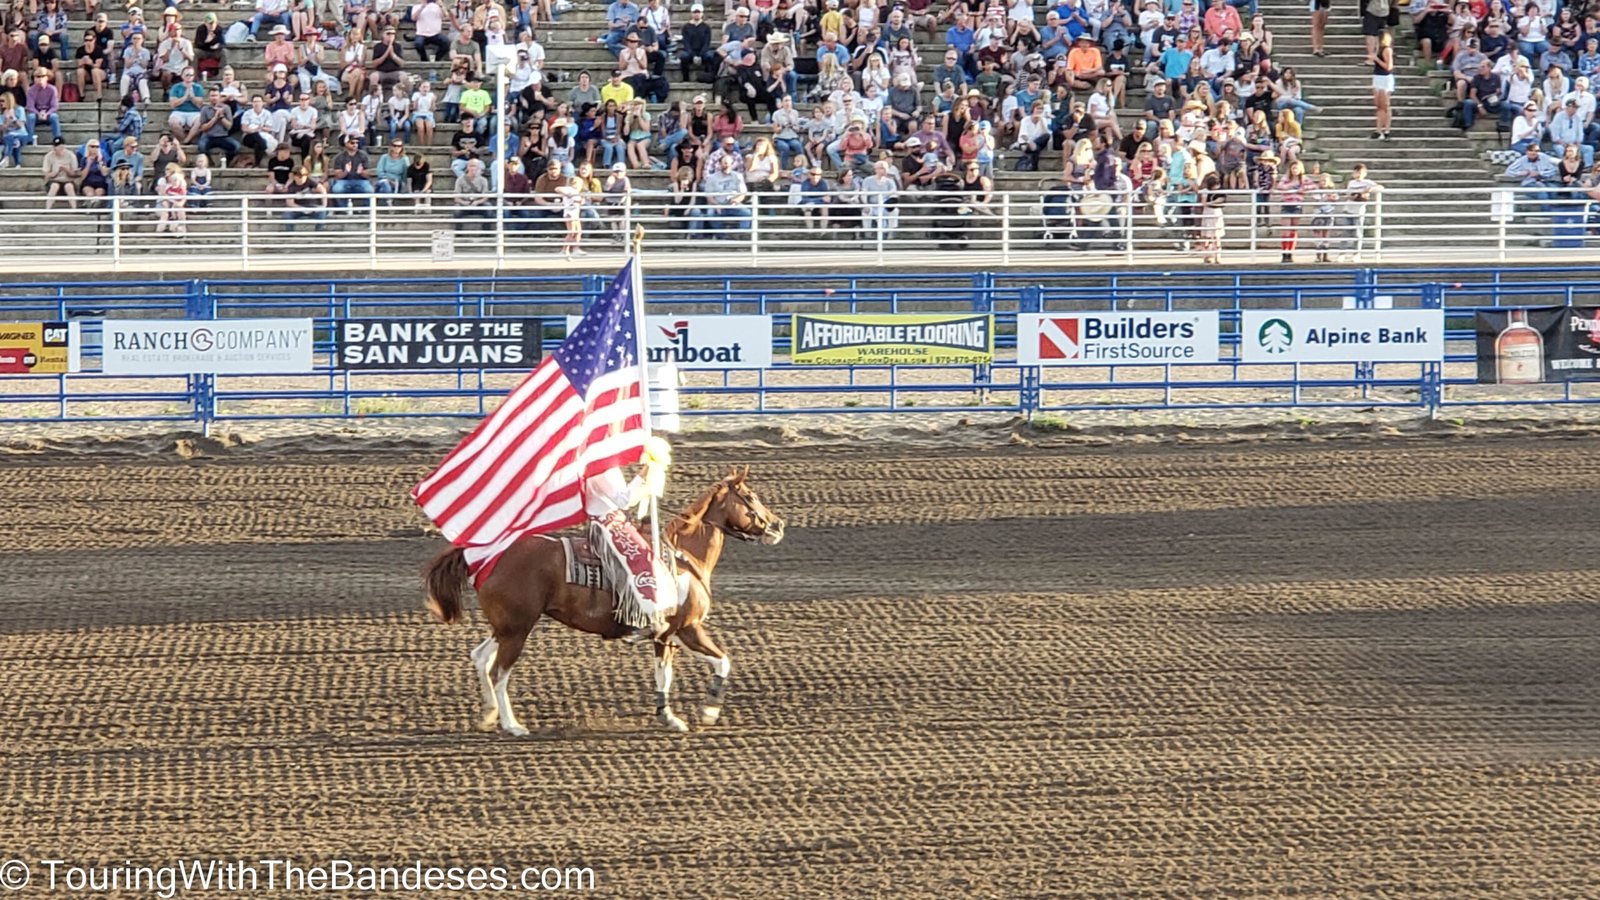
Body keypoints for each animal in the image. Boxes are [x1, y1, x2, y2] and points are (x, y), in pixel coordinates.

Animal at [419, 464, 780, 733]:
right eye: (750, 496)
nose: (777, 525)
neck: (684, 559)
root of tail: (486, 556)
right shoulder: (688, 628)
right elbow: (723, 661)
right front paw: (708, 711)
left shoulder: (666, 635)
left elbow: (663, 675)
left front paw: (668, 716)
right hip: (517, 630)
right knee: (499, 672)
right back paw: (512, 725)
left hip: (507, 627)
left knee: (481, 657)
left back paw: (488, 715)